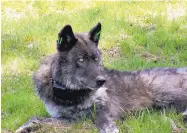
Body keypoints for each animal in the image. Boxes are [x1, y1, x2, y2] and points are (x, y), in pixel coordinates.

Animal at [16, 23, 187, 133]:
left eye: (96, 59)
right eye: (81, 60)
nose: (102, 80)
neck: (70, 93)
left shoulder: (105, 106)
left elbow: (102, 118)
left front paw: (108, 128)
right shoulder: (69, 119)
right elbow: (40, 118)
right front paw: (27, 126)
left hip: (164, 94)